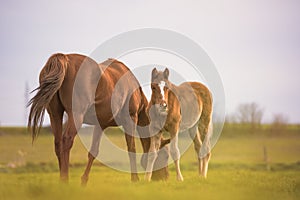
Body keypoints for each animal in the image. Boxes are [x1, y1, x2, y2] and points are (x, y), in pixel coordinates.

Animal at [27, 54, 169, 185]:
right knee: (66, 140)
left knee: (58, 143)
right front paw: (135, 179)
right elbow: (131, 148)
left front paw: (84, 180)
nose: (164, 178)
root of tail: (63, 58)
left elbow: (93, 151)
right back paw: (65, 179)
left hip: (55, 115)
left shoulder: (100, 124)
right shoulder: (131, 119)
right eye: (166, 156)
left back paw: (61, 178)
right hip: (76, 115)